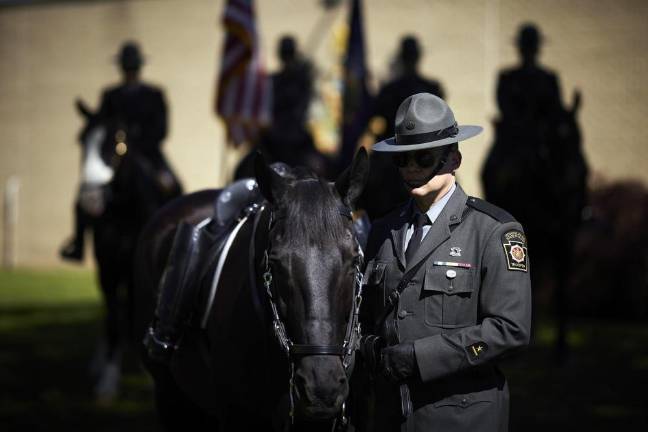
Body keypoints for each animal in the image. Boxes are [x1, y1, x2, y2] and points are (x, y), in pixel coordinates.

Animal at [73, 100, 182, 398]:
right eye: (81, 140)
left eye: (118, 141)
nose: (90, 198)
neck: (124, 213)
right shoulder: (107, 268)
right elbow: (112, 320)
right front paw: (107, 382)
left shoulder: (135, 270)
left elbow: (132, 311)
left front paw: (144, 373)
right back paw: (99, 361)